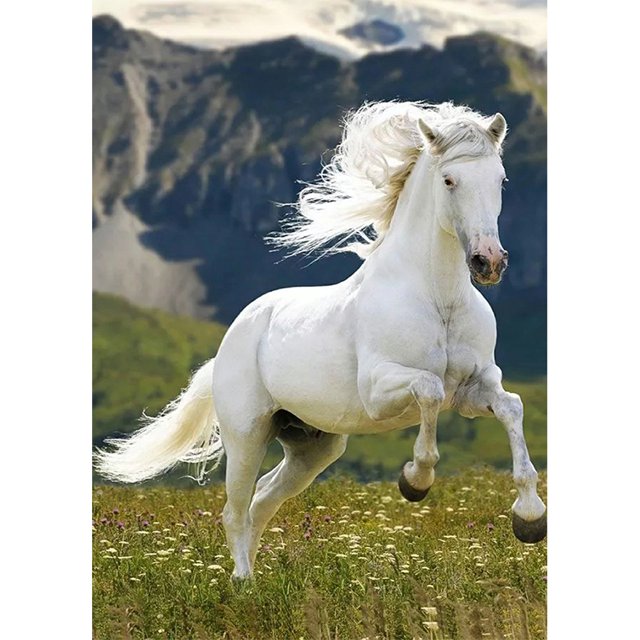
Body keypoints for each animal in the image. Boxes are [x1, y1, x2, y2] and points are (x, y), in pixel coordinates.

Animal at [95, 100, 547, 580]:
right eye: (449, 180)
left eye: (500, 178)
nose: (489, 262)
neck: (437, 298)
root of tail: (229, 342)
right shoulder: (379, 391)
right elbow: (429, 389)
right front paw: (415, 481)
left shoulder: (473, 389)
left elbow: (511, 406)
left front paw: (530, 519)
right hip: (246, 435)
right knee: (235, 510)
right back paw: (243, 582)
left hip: (313, 446)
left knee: (262, 500)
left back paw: (256, 578)